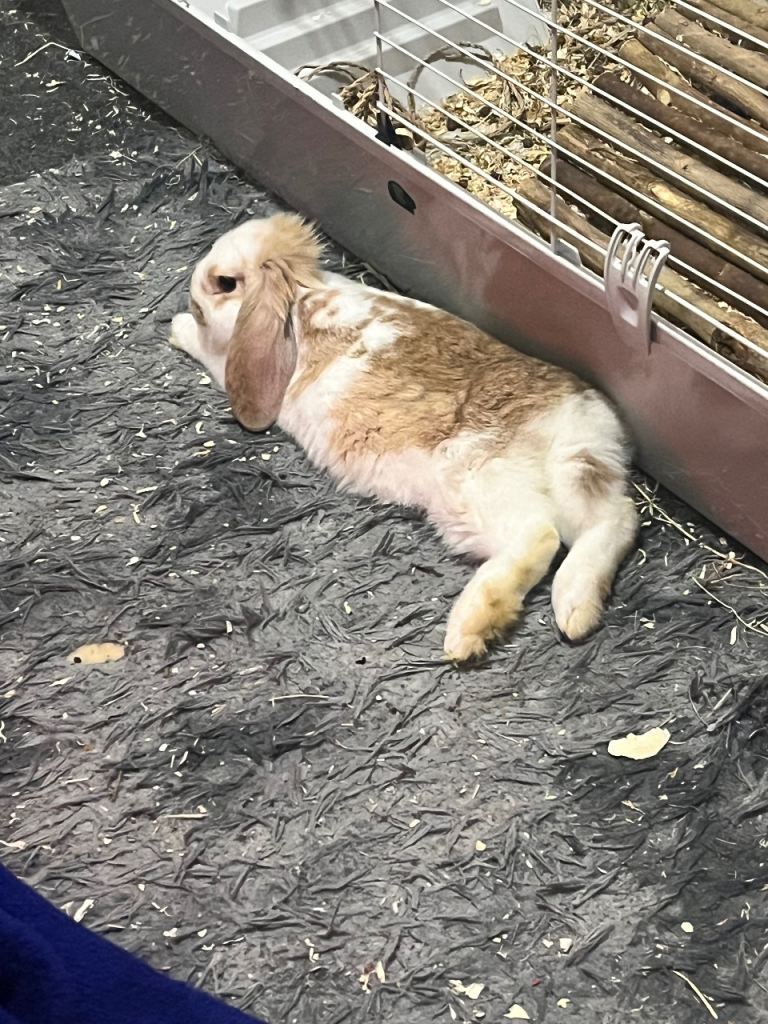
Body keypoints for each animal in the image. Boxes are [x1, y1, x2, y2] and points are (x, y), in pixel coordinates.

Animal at [170, 212, 638, 662]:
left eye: (224, 282)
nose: (190, 297)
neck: (303, 295)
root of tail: (566, 420)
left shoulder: (226, 360)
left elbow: (209, 353)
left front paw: (176, 327)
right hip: (578, 473)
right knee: (616, 518)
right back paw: (576, 608)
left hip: (474, 485)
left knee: (539, 537)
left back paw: (470, 628)